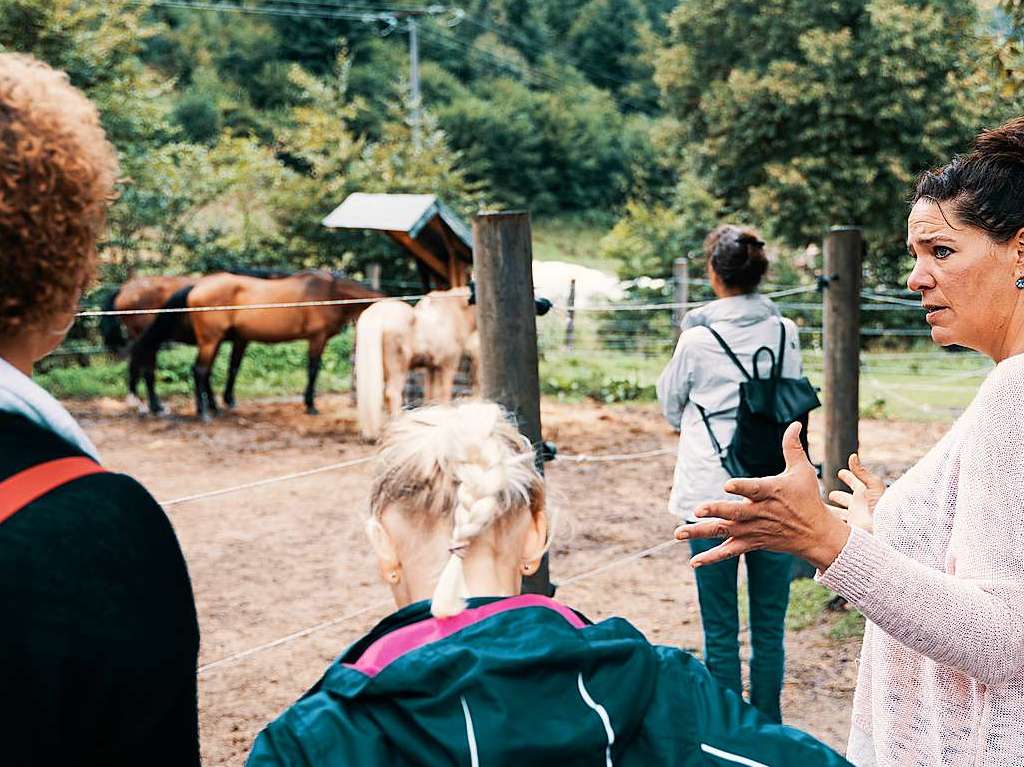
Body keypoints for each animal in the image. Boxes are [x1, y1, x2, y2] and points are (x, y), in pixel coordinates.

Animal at [180, 266, 385, 415]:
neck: (331, 294)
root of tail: (197, 287)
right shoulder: (317, 338)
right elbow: (313, 370)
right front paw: (310, 405)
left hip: (214, 341)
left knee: (205, 371)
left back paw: (212, 407)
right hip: (210, 340)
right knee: (200, 370)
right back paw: (204, 412)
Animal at [354, 286, 477, 440]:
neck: (453, 313)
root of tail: (378, 315)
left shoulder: (431, 368)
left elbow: (430, 396)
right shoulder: (448, 366)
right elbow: (445, 395)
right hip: (398, 369)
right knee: (392, 394)